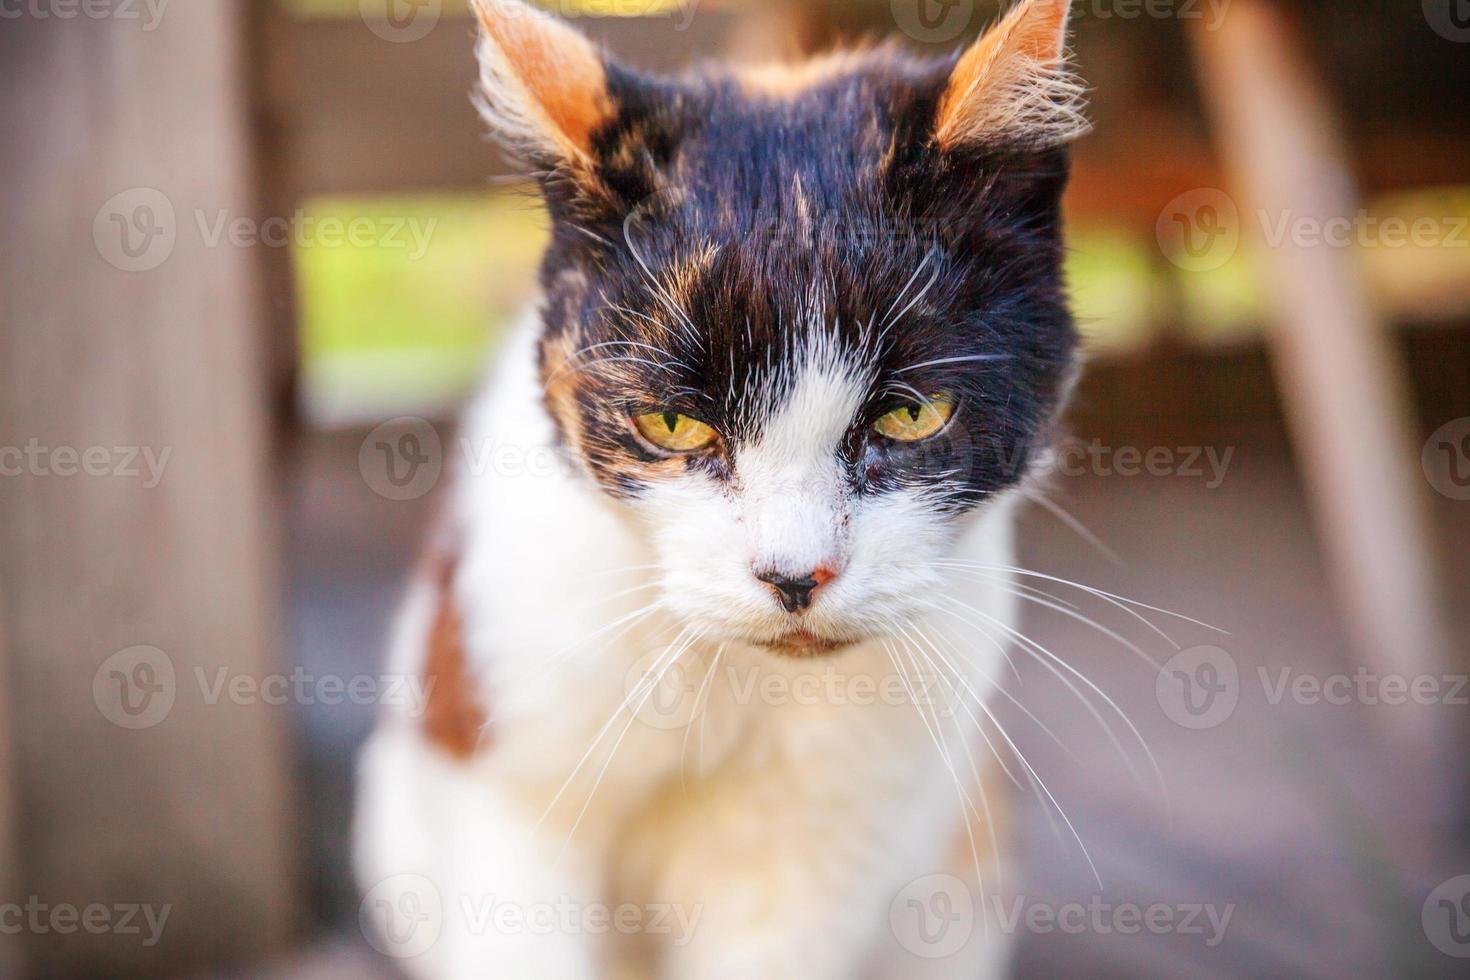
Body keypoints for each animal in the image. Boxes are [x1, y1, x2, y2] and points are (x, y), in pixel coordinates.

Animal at [355, 1, 1093, 975]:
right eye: (674, 425)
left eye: (911, 415)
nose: (794, 574)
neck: (732, 680)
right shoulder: (512, 767)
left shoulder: (830, 837)